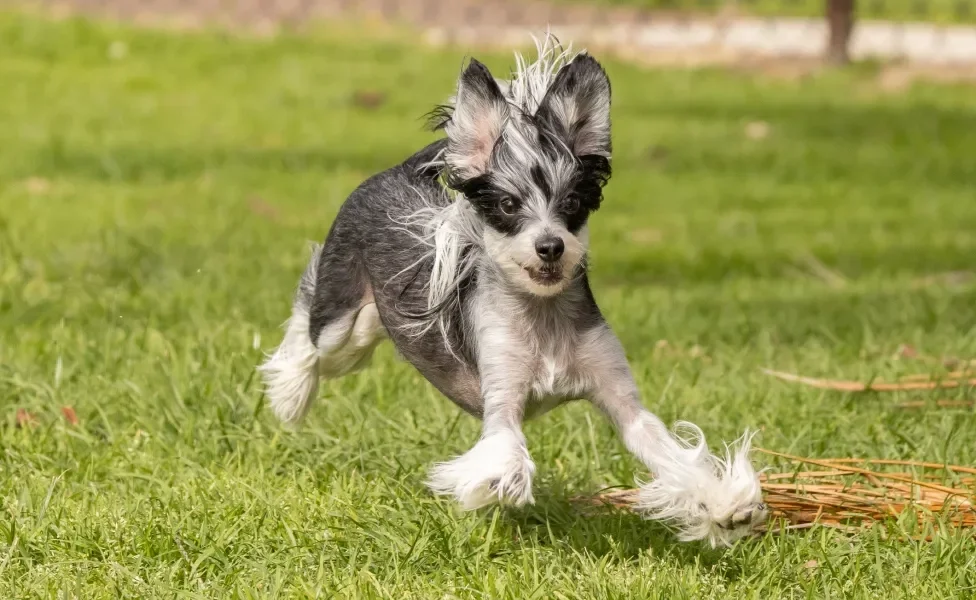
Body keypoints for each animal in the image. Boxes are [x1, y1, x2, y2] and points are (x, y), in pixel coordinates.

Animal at [262, 35, 772, 548]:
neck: (542, 318)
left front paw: (724, 505)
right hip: (341, 319)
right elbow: (504, 445)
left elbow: (669, 453)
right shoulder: (501, 393)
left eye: (573, 202)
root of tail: (396, 172)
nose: (550, 246)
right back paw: (291, 392)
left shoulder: (623, 401)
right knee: (310, 319)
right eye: (507, 204)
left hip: (369, 329)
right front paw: (502, 482)